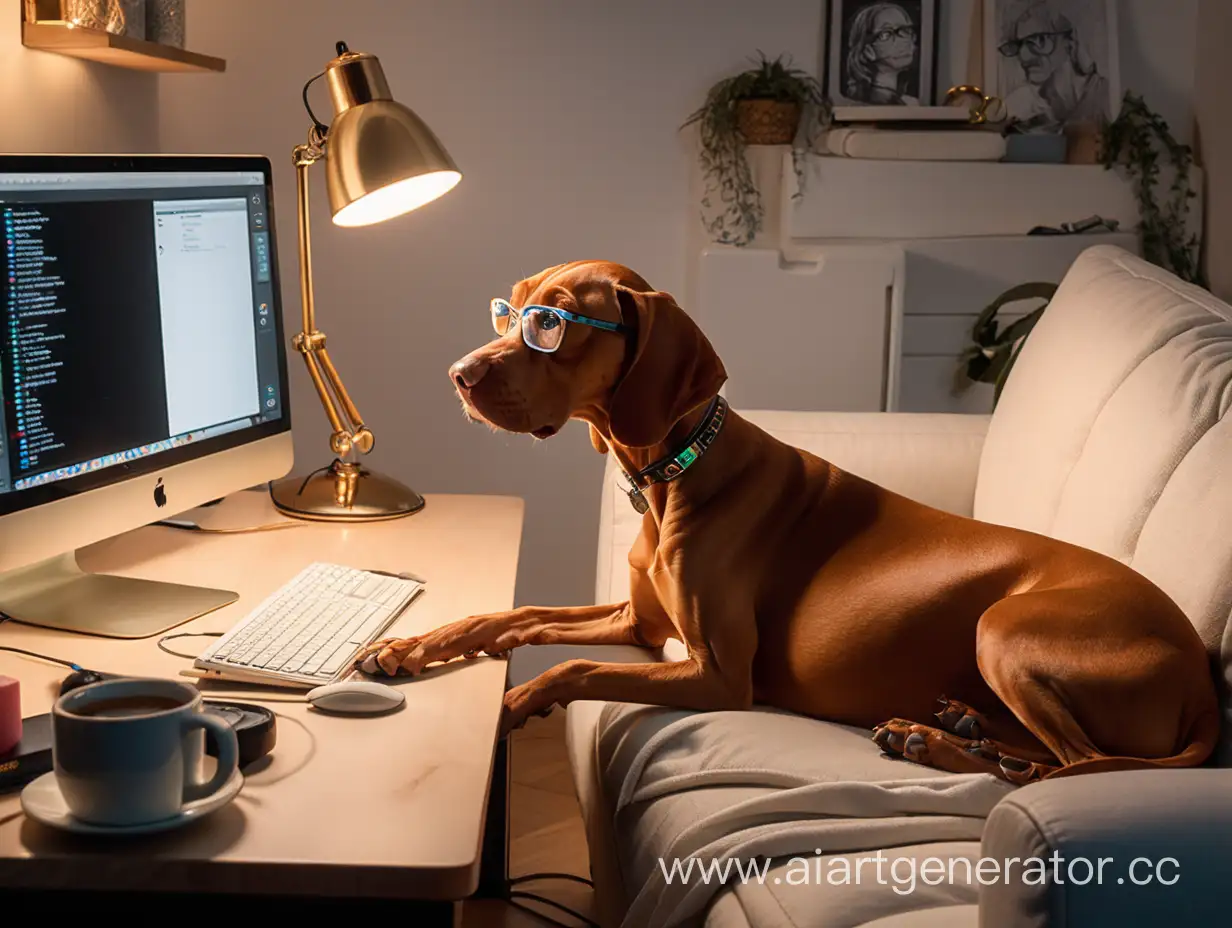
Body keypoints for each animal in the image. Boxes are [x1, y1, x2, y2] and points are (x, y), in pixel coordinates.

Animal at [359, 261, 1222, 783]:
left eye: (552, 324)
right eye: (509, 309)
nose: (459, 375)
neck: (676, 472)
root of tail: (1202, 679)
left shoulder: (716, 674)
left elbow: (570, 670)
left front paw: (505, 712)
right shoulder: (641, 625)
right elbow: (511, 616)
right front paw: (406, 648)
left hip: (1006, 627)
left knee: (1068, 764)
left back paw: (936, 742)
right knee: (1048, 754)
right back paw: (959, 722)